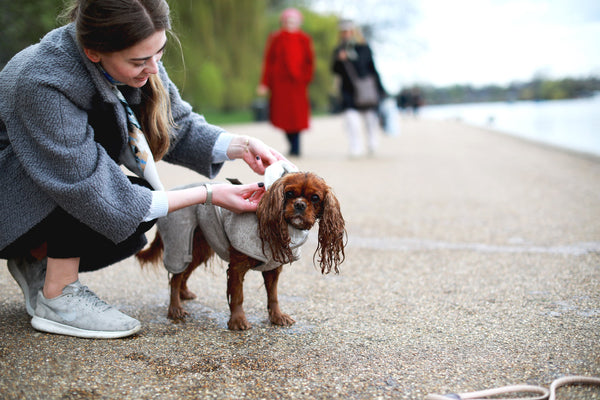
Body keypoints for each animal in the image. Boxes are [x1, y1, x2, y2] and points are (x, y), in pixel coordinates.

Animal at [135, 172, 342, 332]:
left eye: (315, 198)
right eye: (289, 193)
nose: (299, 204)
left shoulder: (272, 269)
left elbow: (273, 296)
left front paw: (277, 317)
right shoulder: (237, 267)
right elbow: (237, 296)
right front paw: (238, 321)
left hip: (198, 250)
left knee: (184, 273)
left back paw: (184, 294)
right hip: (180, 243)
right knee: (175, 277)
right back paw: (175, 308)